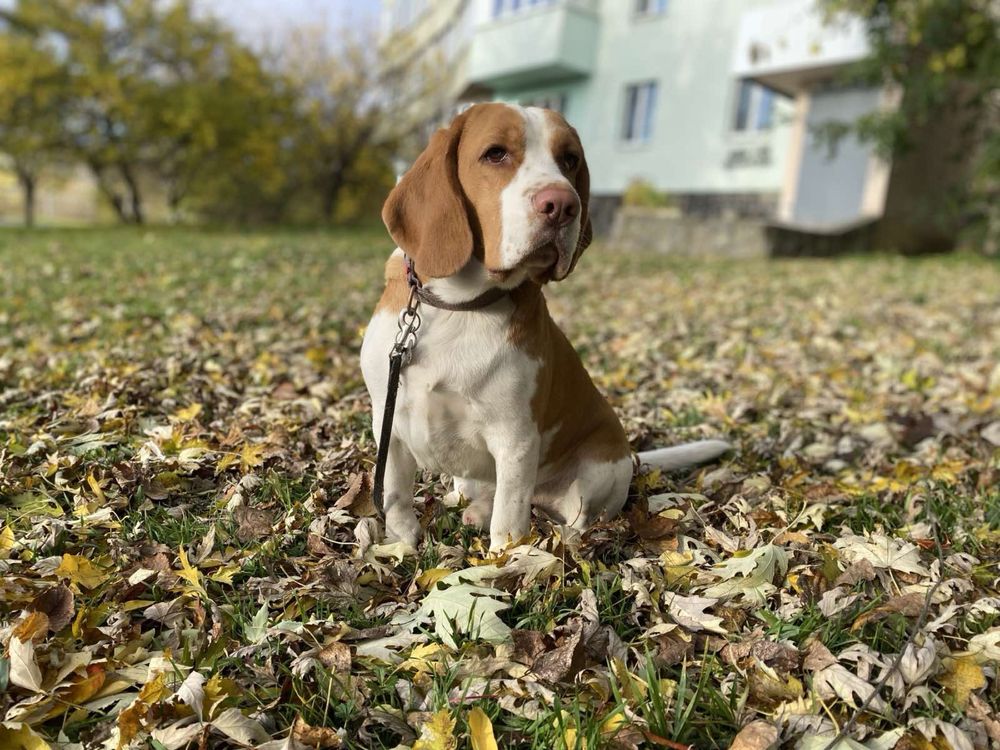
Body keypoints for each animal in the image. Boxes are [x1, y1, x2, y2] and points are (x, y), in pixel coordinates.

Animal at [360, 103, 728, 552]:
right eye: (495, 154)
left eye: (569, 160)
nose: (563, 205)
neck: (459, 306)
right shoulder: (389, 422)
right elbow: (394, 495)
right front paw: (401, 545)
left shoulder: (515, 440)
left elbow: (508, 522)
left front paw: (502, 564)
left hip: (596, 472)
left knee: (575, 518)